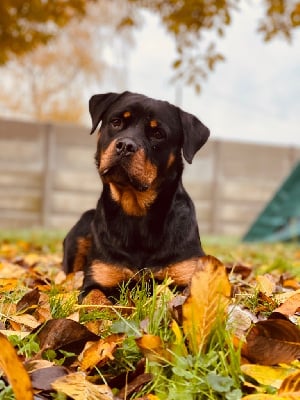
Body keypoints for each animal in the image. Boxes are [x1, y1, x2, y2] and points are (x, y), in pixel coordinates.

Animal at [62, 90, 210, 296]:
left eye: (158, 134)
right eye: (116, 122)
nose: (125, 145)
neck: (136, 213)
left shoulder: (188, 275)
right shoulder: (99, 276)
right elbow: (95, 297)